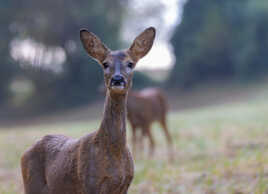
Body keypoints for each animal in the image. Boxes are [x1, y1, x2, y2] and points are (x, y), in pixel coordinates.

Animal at [21, 26, 156, 193]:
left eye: (130, 63)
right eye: (105, 64)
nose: (117, 79)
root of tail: (25, 153)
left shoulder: (125, 184)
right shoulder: (90, 183)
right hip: (32, 184)